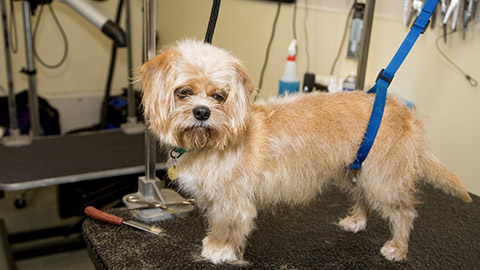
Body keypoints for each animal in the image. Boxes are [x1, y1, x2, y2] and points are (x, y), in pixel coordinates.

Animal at [140, 39, 472, 264]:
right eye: (183, 92)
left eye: (219, 96)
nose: (202, 112)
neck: (211, 142)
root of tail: (402, 112)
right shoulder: (215, 199)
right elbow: (216, 223)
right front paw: (215, 243)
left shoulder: (232, 202)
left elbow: (227, 226)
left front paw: (219, 249)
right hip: (356, 172)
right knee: (364, 198)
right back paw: (357, 221)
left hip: (383, 180)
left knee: (405, 212)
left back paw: (398, 247)